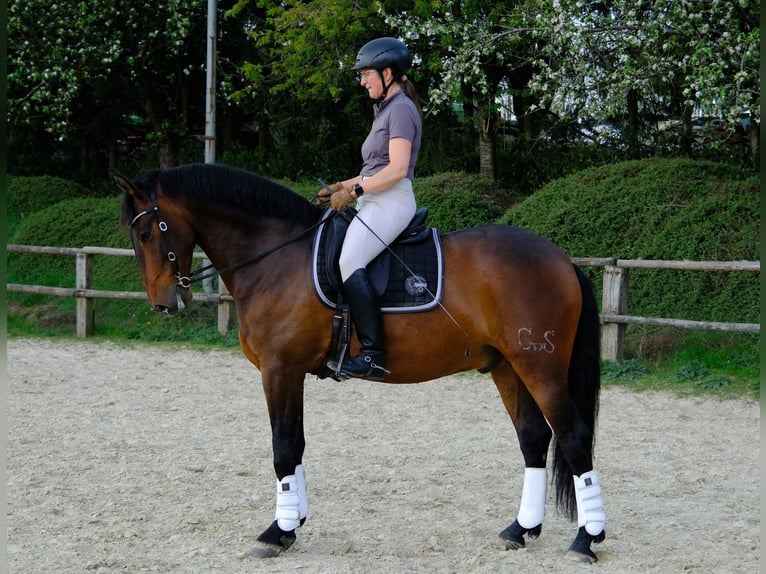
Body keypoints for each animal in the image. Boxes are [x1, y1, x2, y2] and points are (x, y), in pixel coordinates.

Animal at [113, 163, 607, 563]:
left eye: (146, 233)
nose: (164, 304)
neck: (277, 257)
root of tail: (561, 259)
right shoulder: (291, 372)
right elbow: (297, 445)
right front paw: (294, 523)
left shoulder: (280, 369)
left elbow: (282, 448)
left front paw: (277, 532)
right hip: (506, 367)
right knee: (533, 438)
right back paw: (521, 529)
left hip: (540, 368)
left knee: (574, 438)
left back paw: (587, 538)